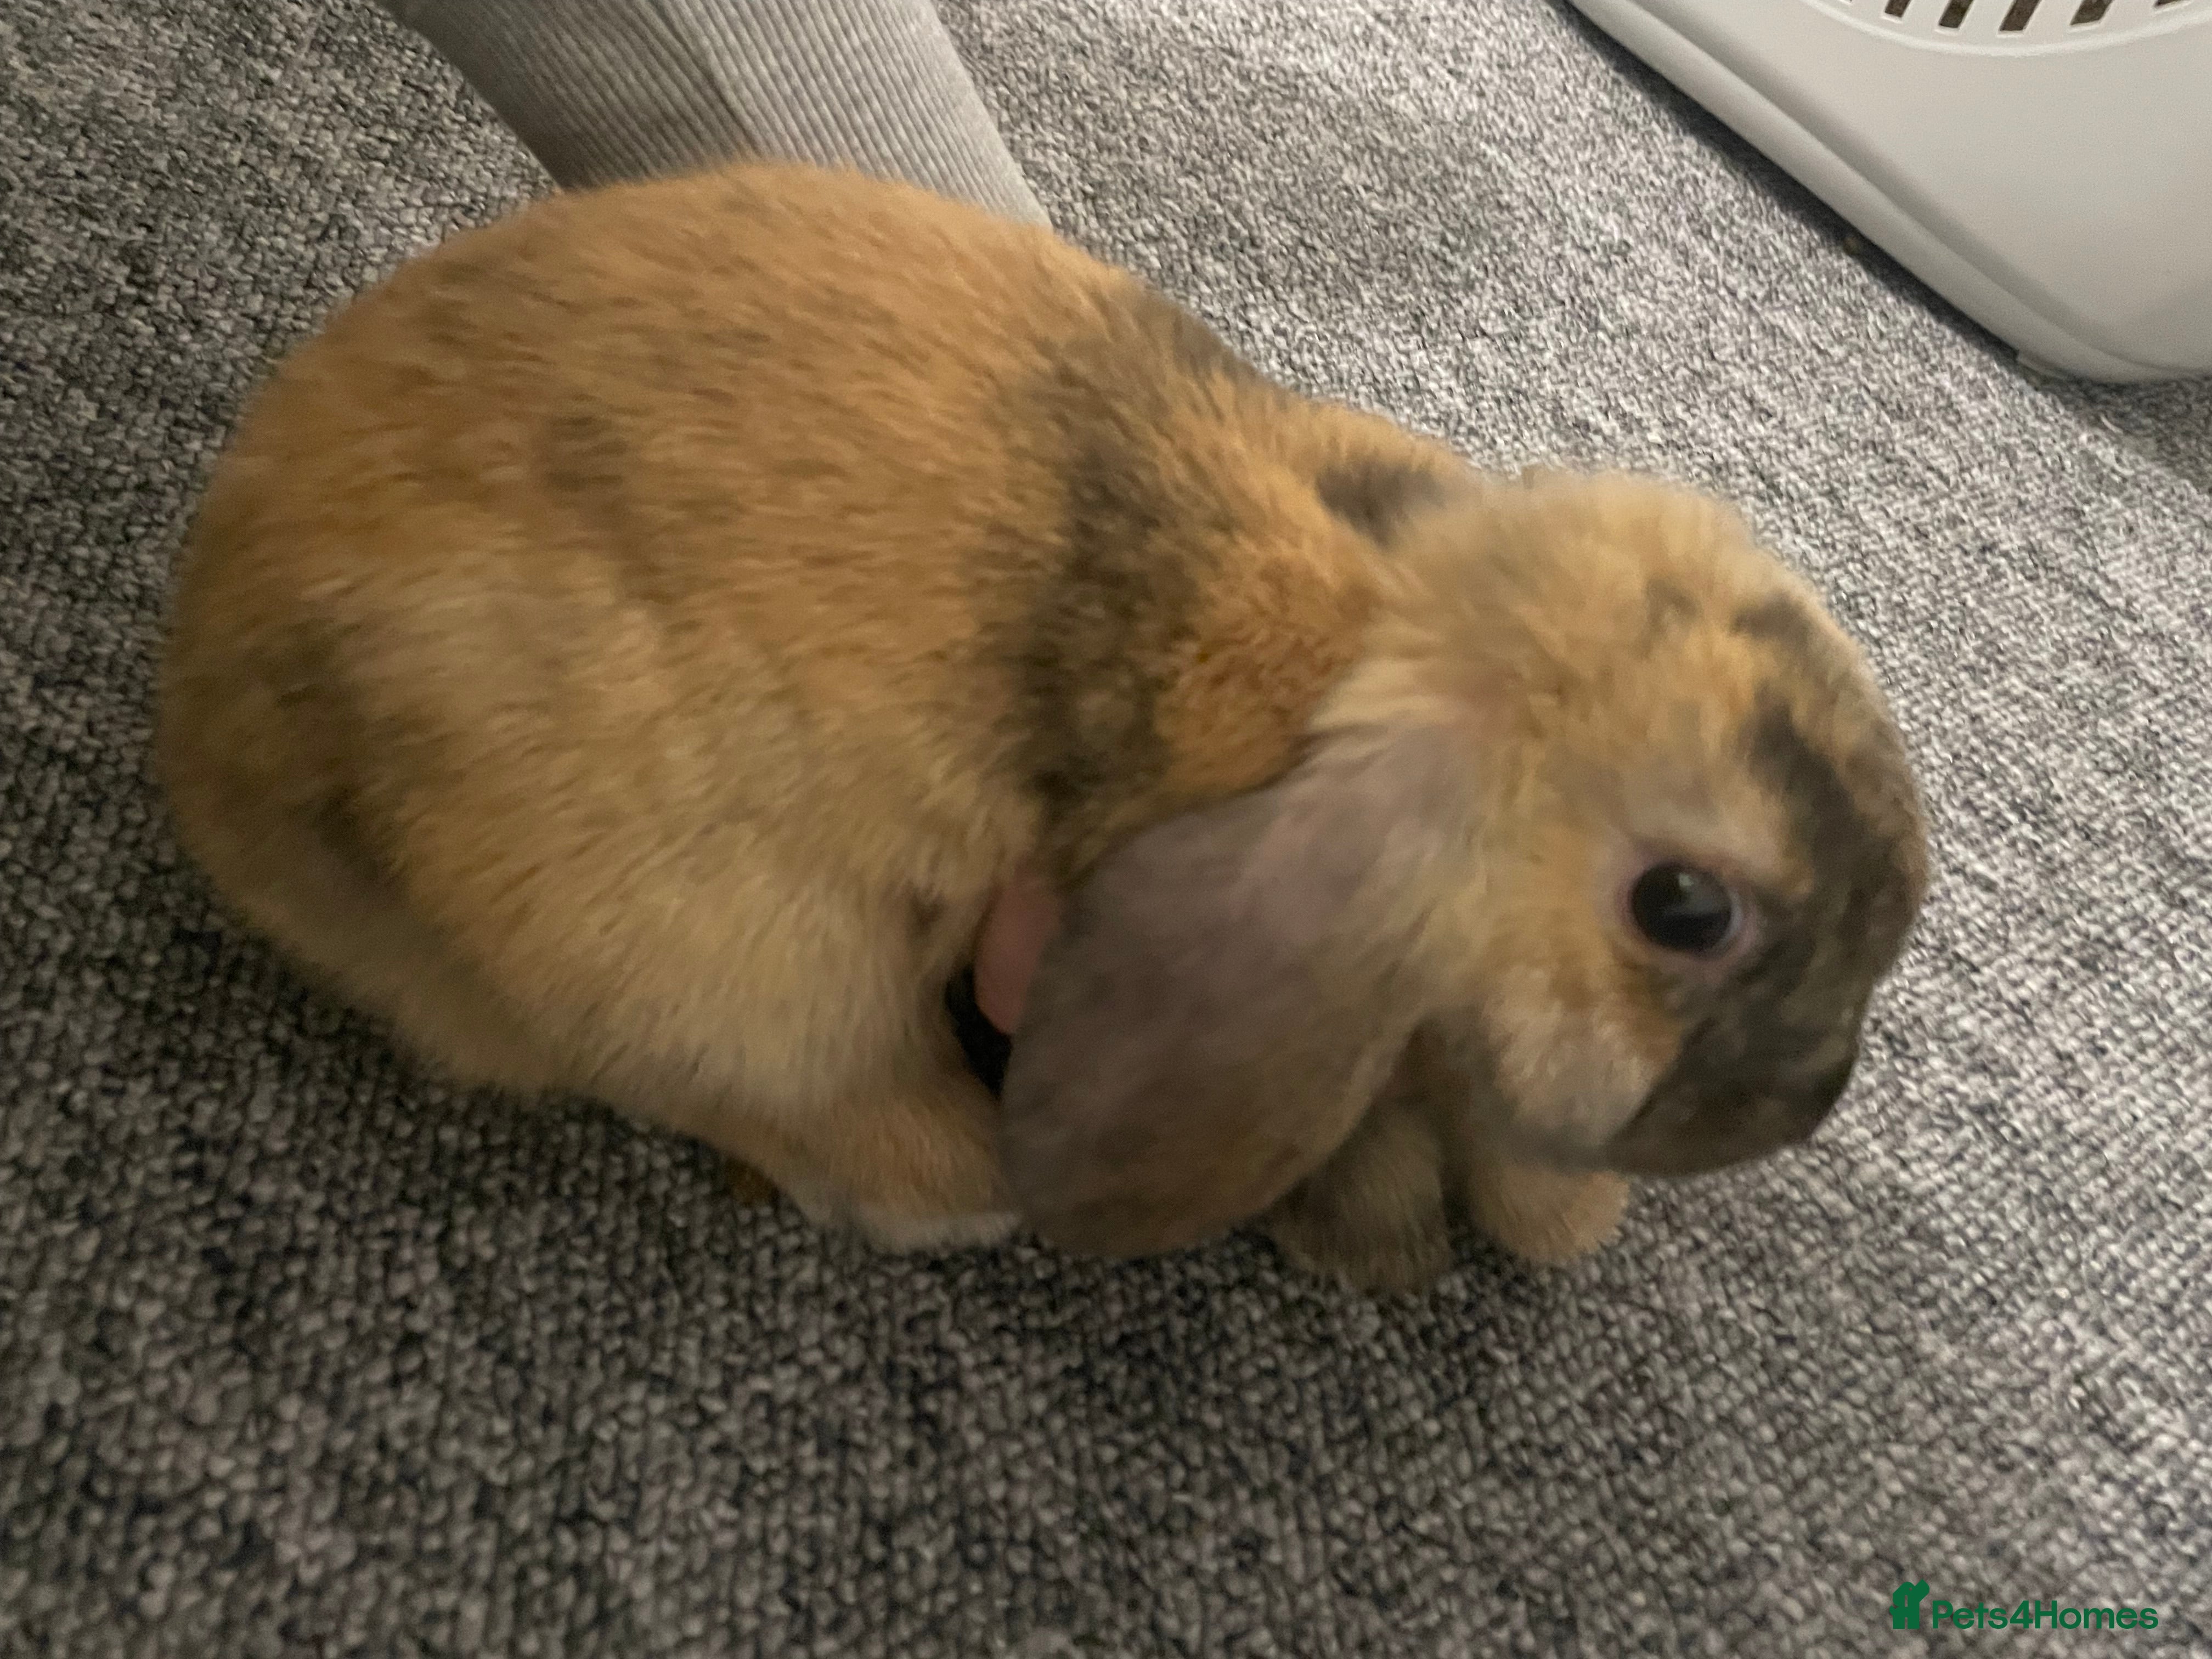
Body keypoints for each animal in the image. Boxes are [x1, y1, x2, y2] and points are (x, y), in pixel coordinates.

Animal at [156, 160, 1929, 1289]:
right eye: (1684, 907)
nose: (1811, 1100)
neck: (1356, 652)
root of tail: (203, 751)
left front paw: (1547, 1220)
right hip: (691, 939)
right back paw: (950, 1192)